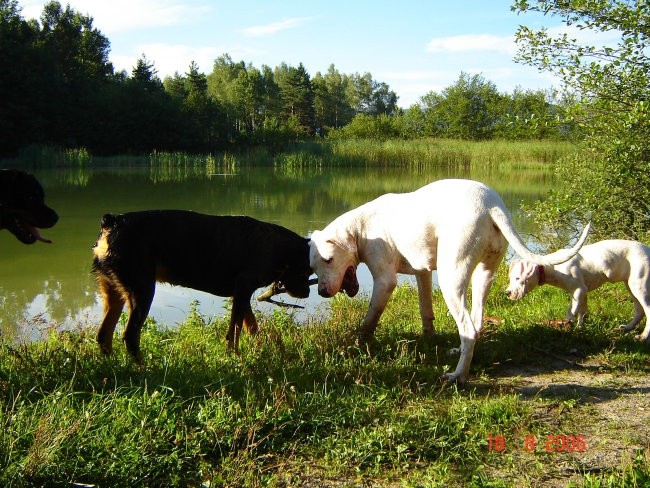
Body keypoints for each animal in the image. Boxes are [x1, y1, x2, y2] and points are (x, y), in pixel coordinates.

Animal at [92, 211, 312, 362]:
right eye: (306, 272)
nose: (308, 292)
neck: (276, 247)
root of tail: (112, 222)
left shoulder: (240, 294)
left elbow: (251, 326)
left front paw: (260, 349)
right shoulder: (243, 290)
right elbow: (234, 331)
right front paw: (234, 357)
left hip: (113, 291)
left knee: (104, 335)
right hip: (142, 290)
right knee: (130, 336)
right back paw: (143, 369)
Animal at [308, 179, 588, 386]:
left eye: (329, 260)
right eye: (313, 267)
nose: (321, 292)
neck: (360, 227)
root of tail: (492, 206)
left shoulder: (385, 281)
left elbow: (370, 319)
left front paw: (358, 343)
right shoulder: (422, 273)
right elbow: (425, 310)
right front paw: (429, 339)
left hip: (451, 278)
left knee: (467, 328)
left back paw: (458, 376)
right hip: (483, 275)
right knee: (476, 325)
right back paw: (461, 355)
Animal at [506, 239, 648, 340]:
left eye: (518, 278)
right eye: (511, 278)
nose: (507, 293)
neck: (552, 267)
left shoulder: (579, 290)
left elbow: (571, 312)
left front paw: (568, 327)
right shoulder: (582, 292)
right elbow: (582, 312)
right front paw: (580, 328)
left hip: (639, 286)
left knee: (647, 310)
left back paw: (643, 336)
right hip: (630, 285)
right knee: (639, 310)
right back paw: (628, 328)